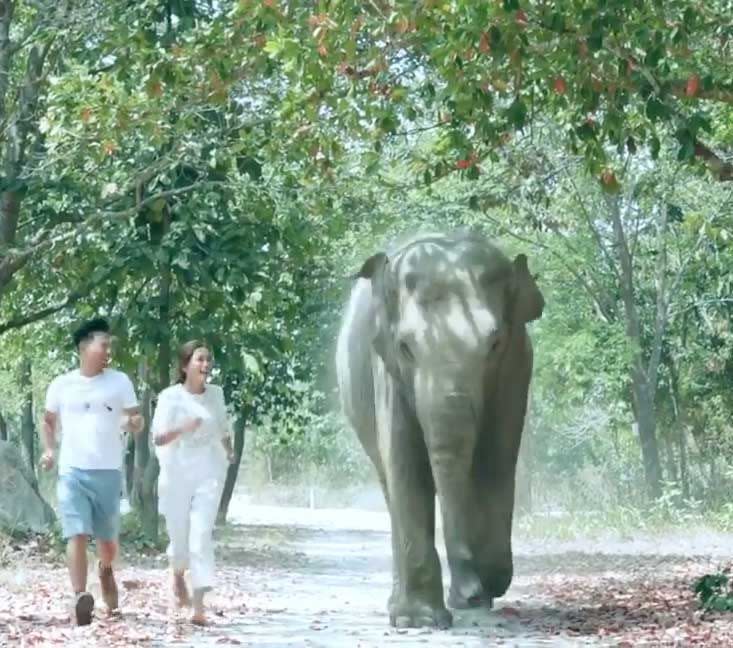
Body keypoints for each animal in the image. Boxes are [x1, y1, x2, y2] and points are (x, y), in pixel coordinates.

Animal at [334, 229, 540, 628]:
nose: (469, 592)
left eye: (494, 344)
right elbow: (405, 464)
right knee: (390, 484)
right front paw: (422, 621)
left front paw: (487, 582)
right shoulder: (385, 367)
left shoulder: (517, 365)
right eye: (406, 348)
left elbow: (496, 459)